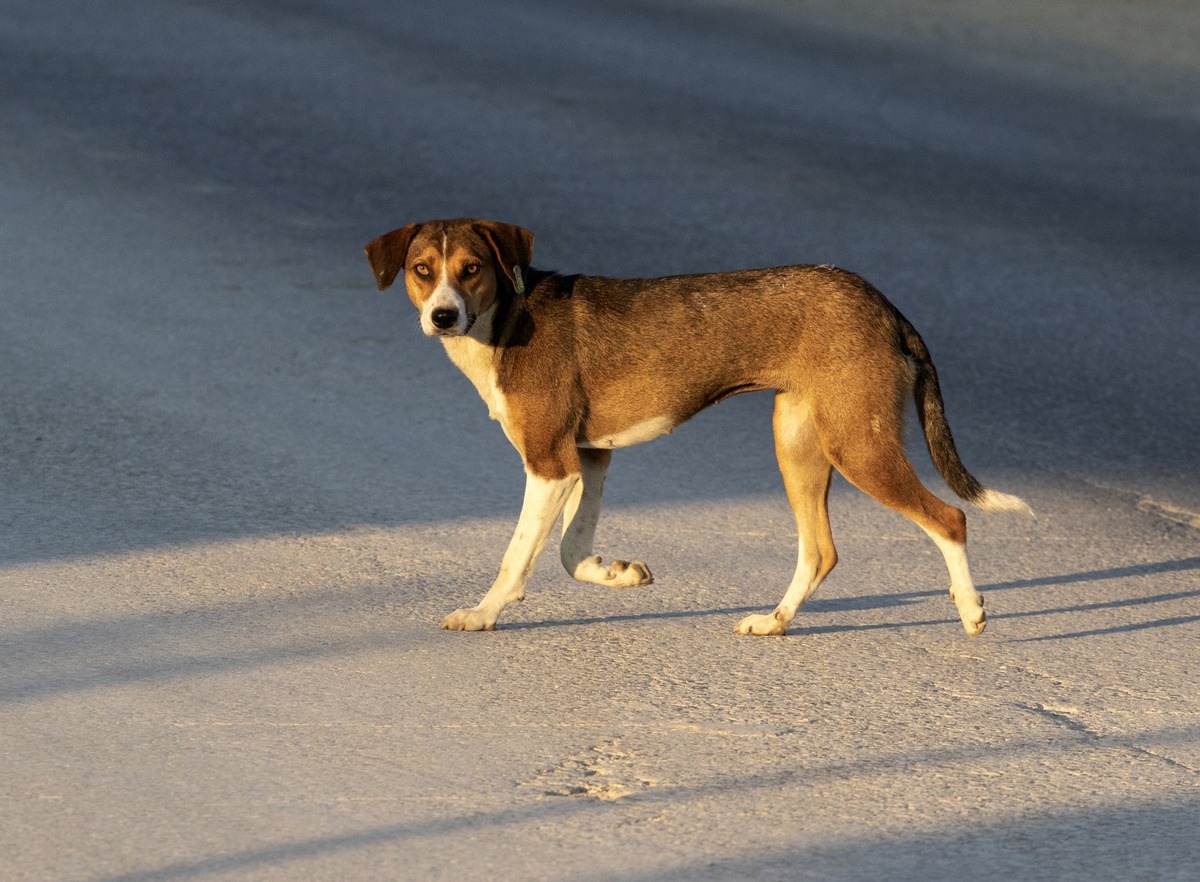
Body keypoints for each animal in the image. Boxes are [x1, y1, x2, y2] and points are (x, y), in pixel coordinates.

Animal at [364, 218, 1032, 638]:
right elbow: (570, 550)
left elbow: (518, 555)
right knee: (820, 550)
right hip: (798, 442)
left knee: (949, 518)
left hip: (857, 445)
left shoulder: (550, 463)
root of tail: (884, 305)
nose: (443, 316)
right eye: (422, 270)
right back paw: (774, 622)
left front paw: (482, 614)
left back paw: (970, 611)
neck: (505, 320)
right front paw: (617, 573)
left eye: (472, 268)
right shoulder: (588, 457)